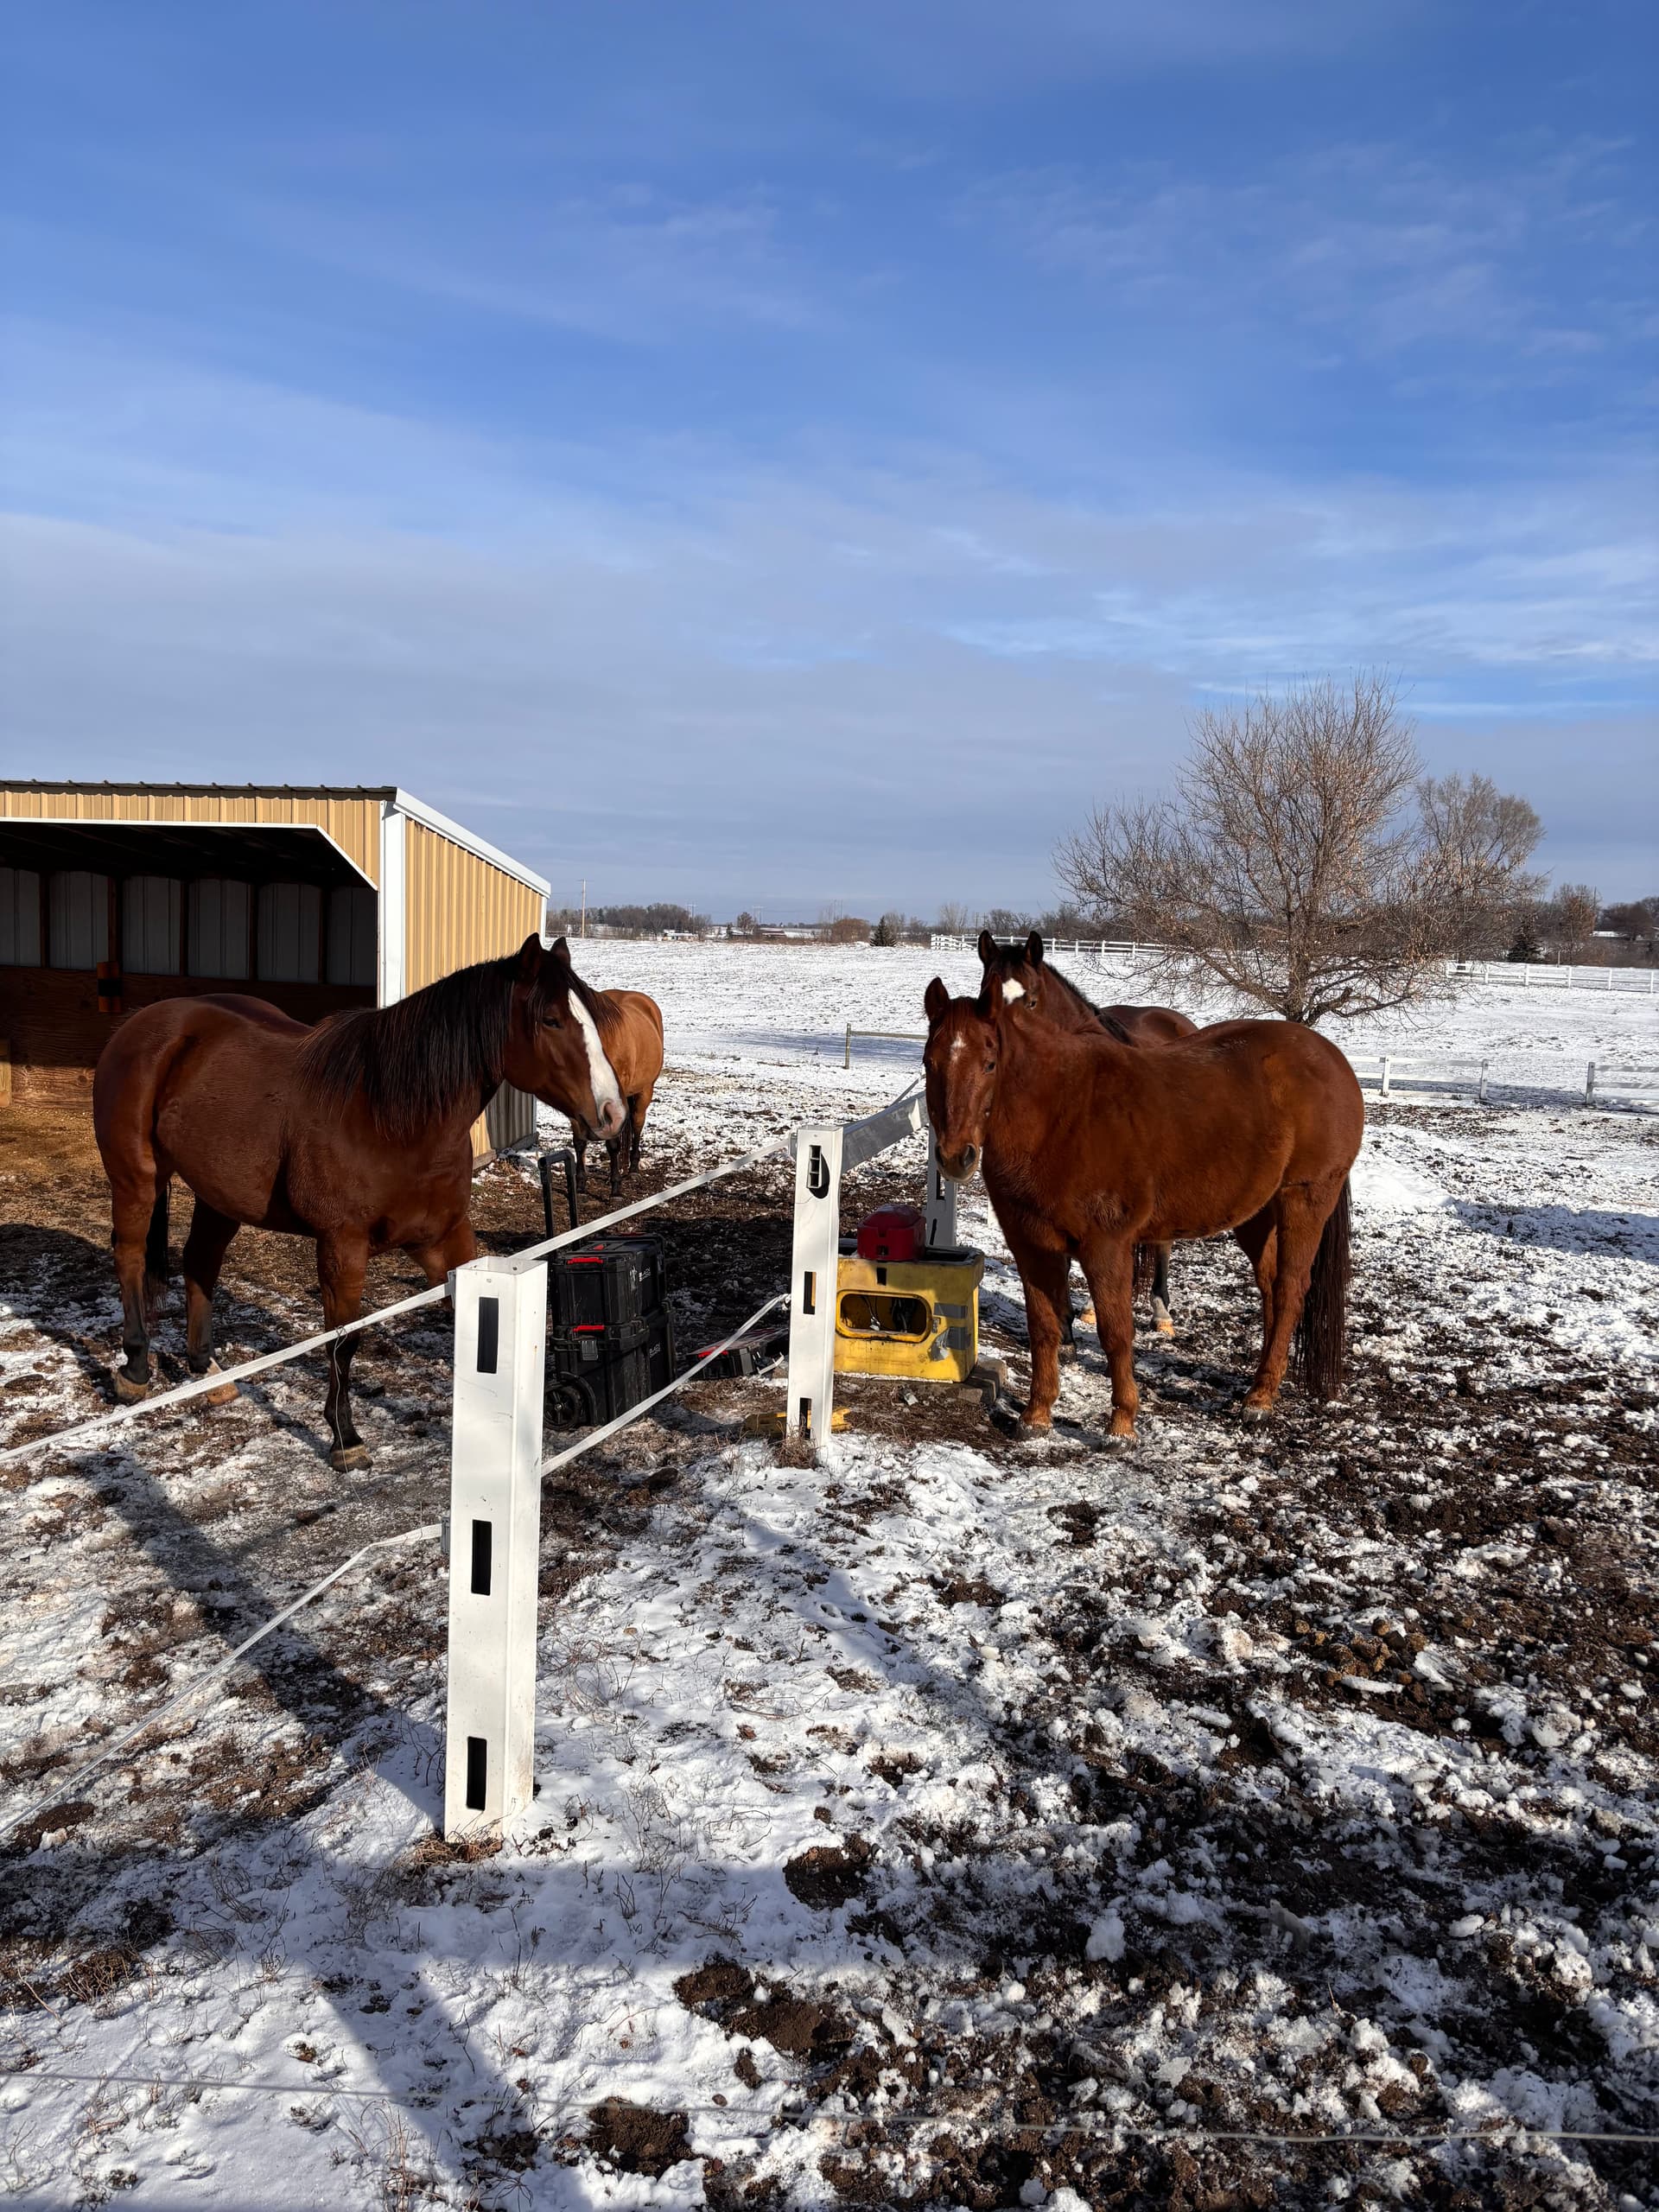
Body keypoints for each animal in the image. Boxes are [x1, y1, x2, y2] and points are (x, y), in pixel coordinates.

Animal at [92, 933, 627, 1469]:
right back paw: (135, 1370)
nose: (613, 1113)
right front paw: (345, 1438)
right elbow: (344, 1342)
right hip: (137, 1180)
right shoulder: (342, 1246)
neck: (389, 1116)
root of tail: (144, 1023)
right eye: (551, 1020)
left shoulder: (446, 1240)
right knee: (131, 1256)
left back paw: (207, 1373)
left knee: (200, 1263)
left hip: (218, 1196)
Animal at [559, 961, 664, 1194]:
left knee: (637, 1124)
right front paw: (581, 1184)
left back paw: (633, 1169)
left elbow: (613, 1144)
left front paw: (616, 1188)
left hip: (644, 1091)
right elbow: (579, 1141)